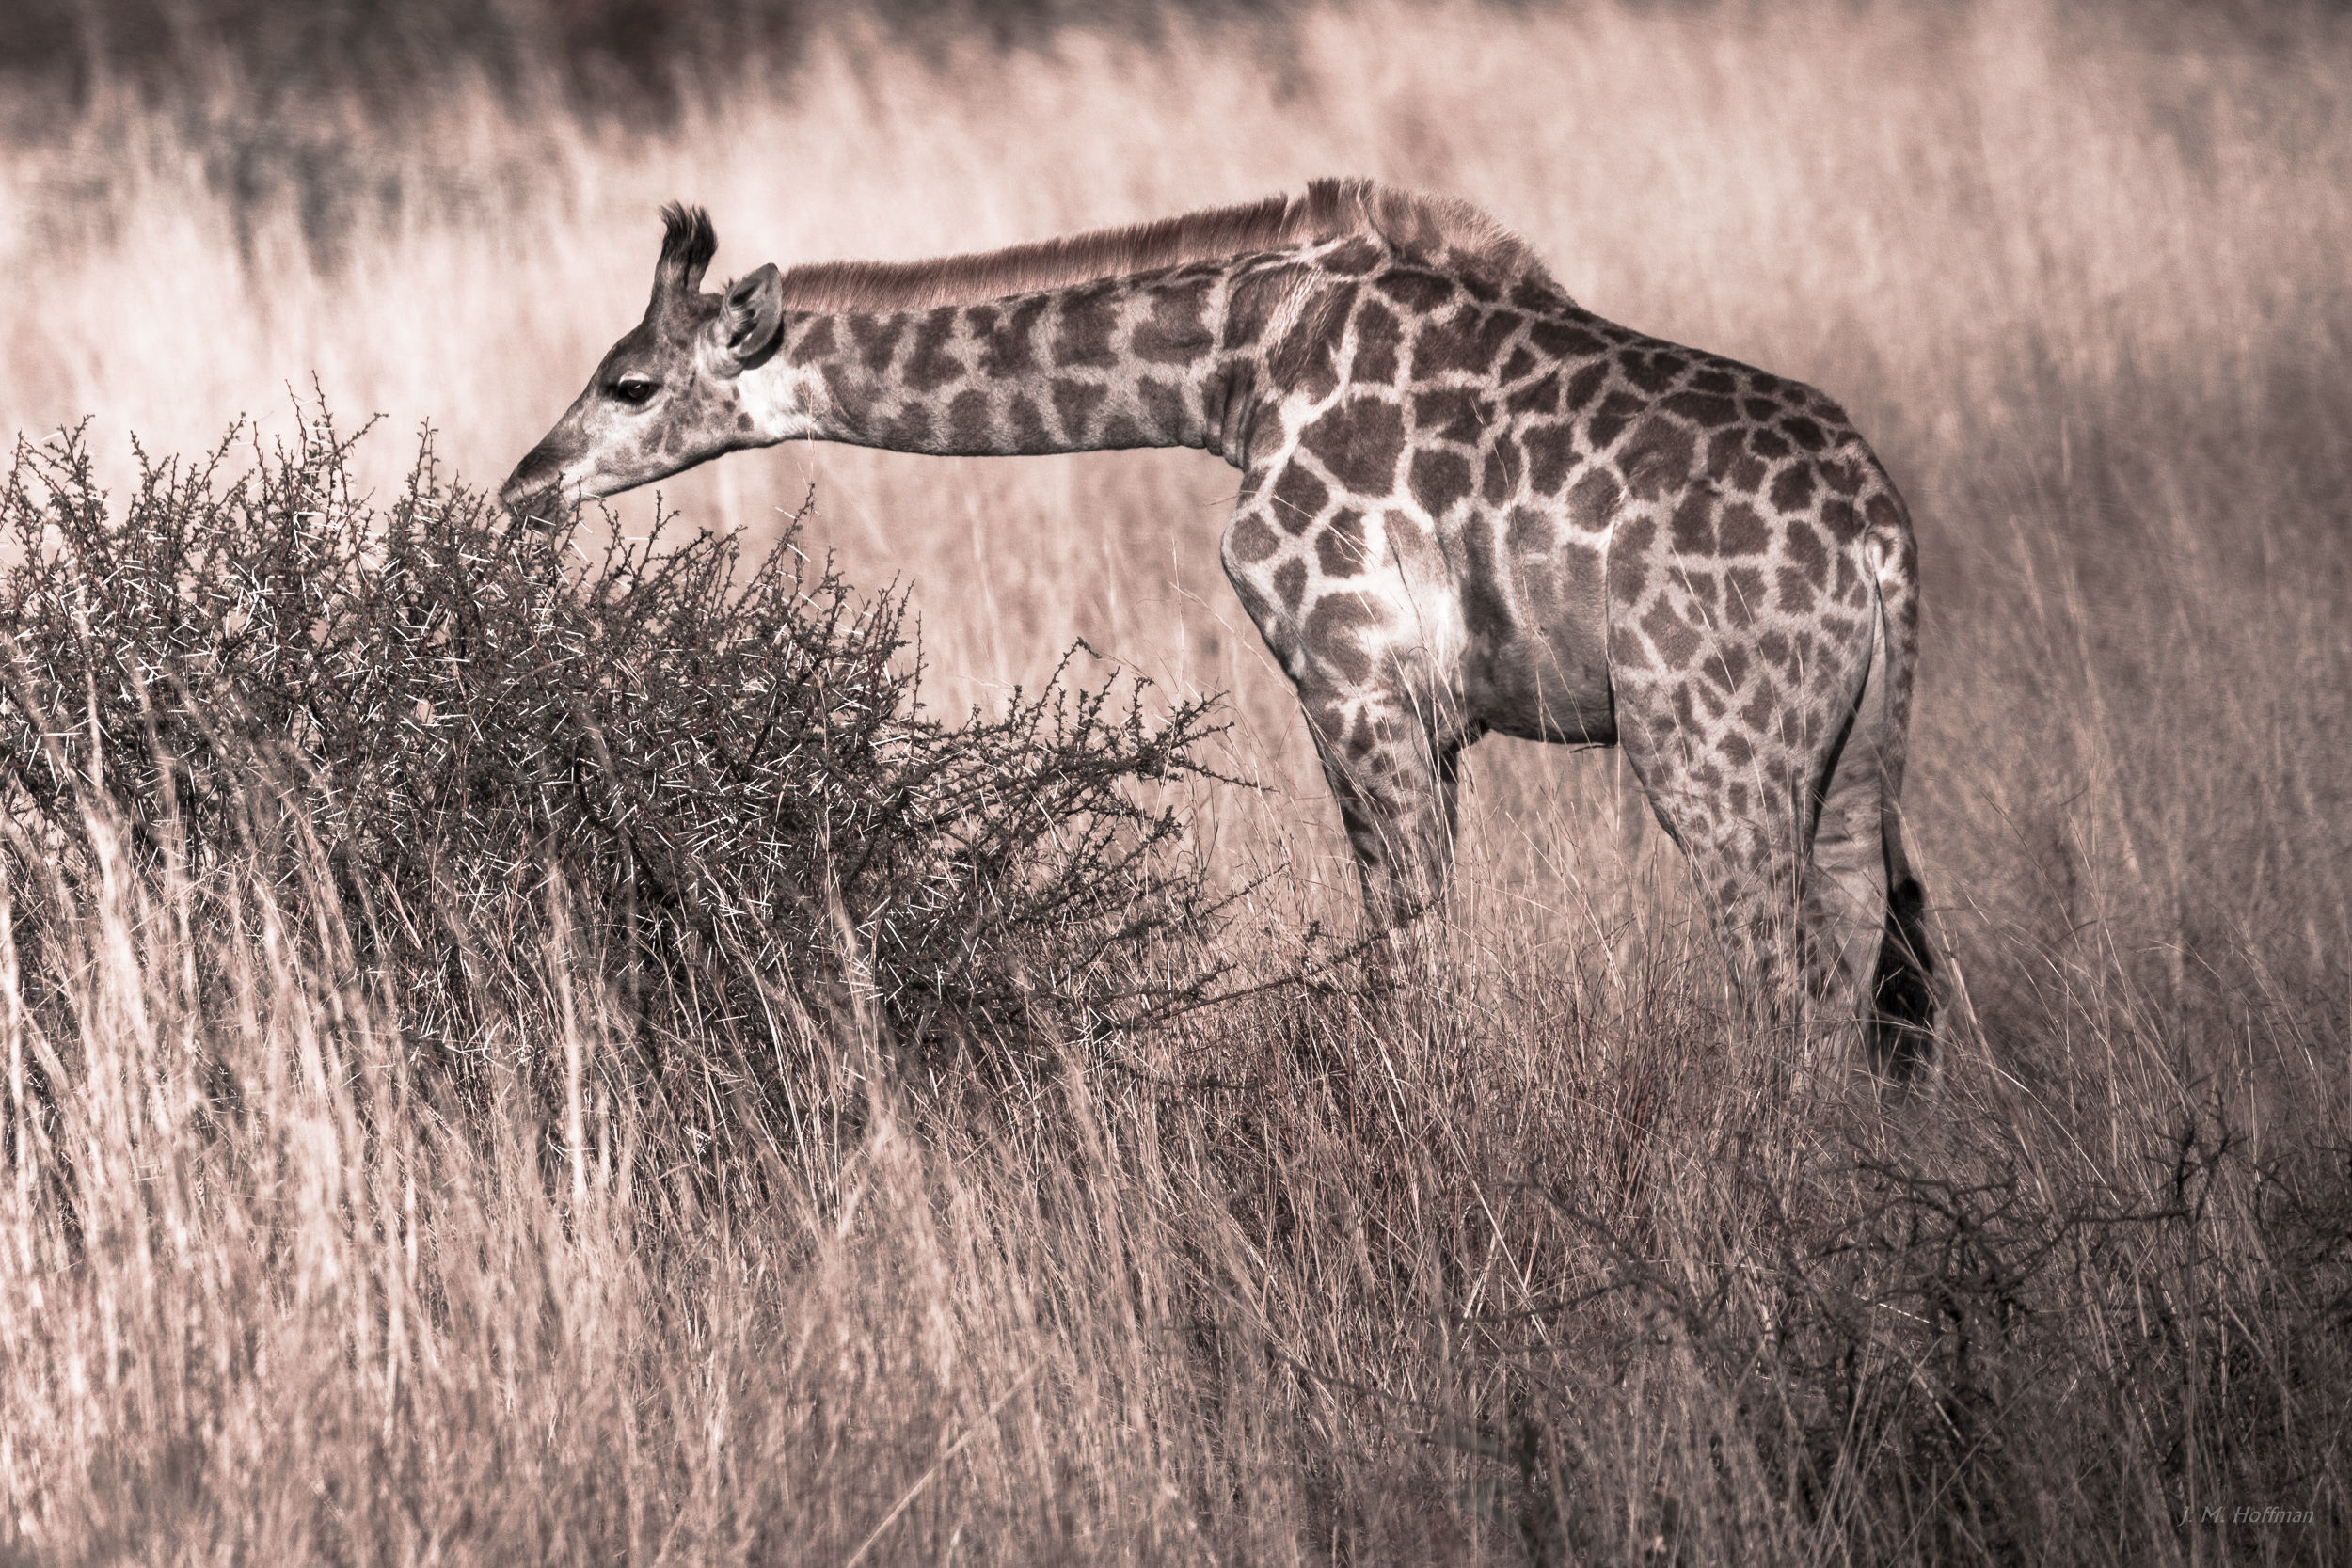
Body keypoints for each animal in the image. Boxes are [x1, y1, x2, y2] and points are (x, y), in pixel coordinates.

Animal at [502, 180, 1936, 1068]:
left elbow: (1407, 946)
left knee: (1785, 983)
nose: (523, 488)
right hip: (1855, 758)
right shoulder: (1410, 712)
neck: (1234, 365)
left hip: (1707, 750)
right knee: (1865, 959)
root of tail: (1879, 537)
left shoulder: (1354, 680)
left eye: (630, 383)